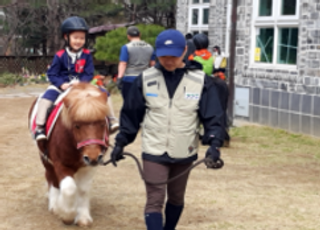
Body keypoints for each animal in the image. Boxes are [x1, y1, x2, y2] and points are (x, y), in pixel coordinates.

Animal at [28, 83, 110, 226]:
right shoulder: (60, 164)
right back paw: (55, 206)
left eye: (102, 123)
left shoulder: (87, 166)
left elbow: (82, 189)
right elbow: (69, 188)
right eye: (76, 125)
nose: (93, 157)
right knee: (52, 178)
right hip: (45, 158)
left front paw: (83, 217)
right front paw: (67, 215)